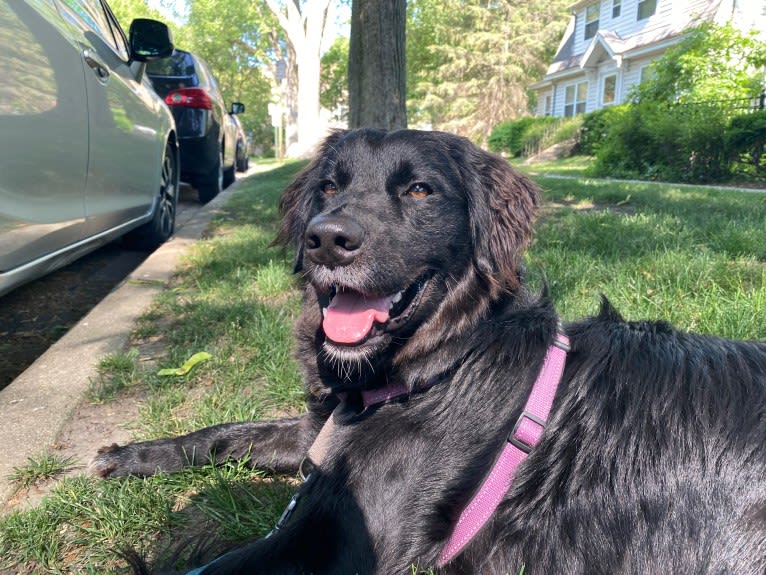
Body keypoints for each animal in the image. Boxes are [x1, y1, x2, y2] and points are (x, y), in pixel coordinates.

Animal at [91, 130, 766, 575]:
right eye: (329, 186)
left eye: (419, 190)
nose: (326, 239)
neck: (440, 366)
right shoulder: (321, 437)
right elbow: (227, 433)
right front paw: (134, 455)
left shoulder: (343, 541)